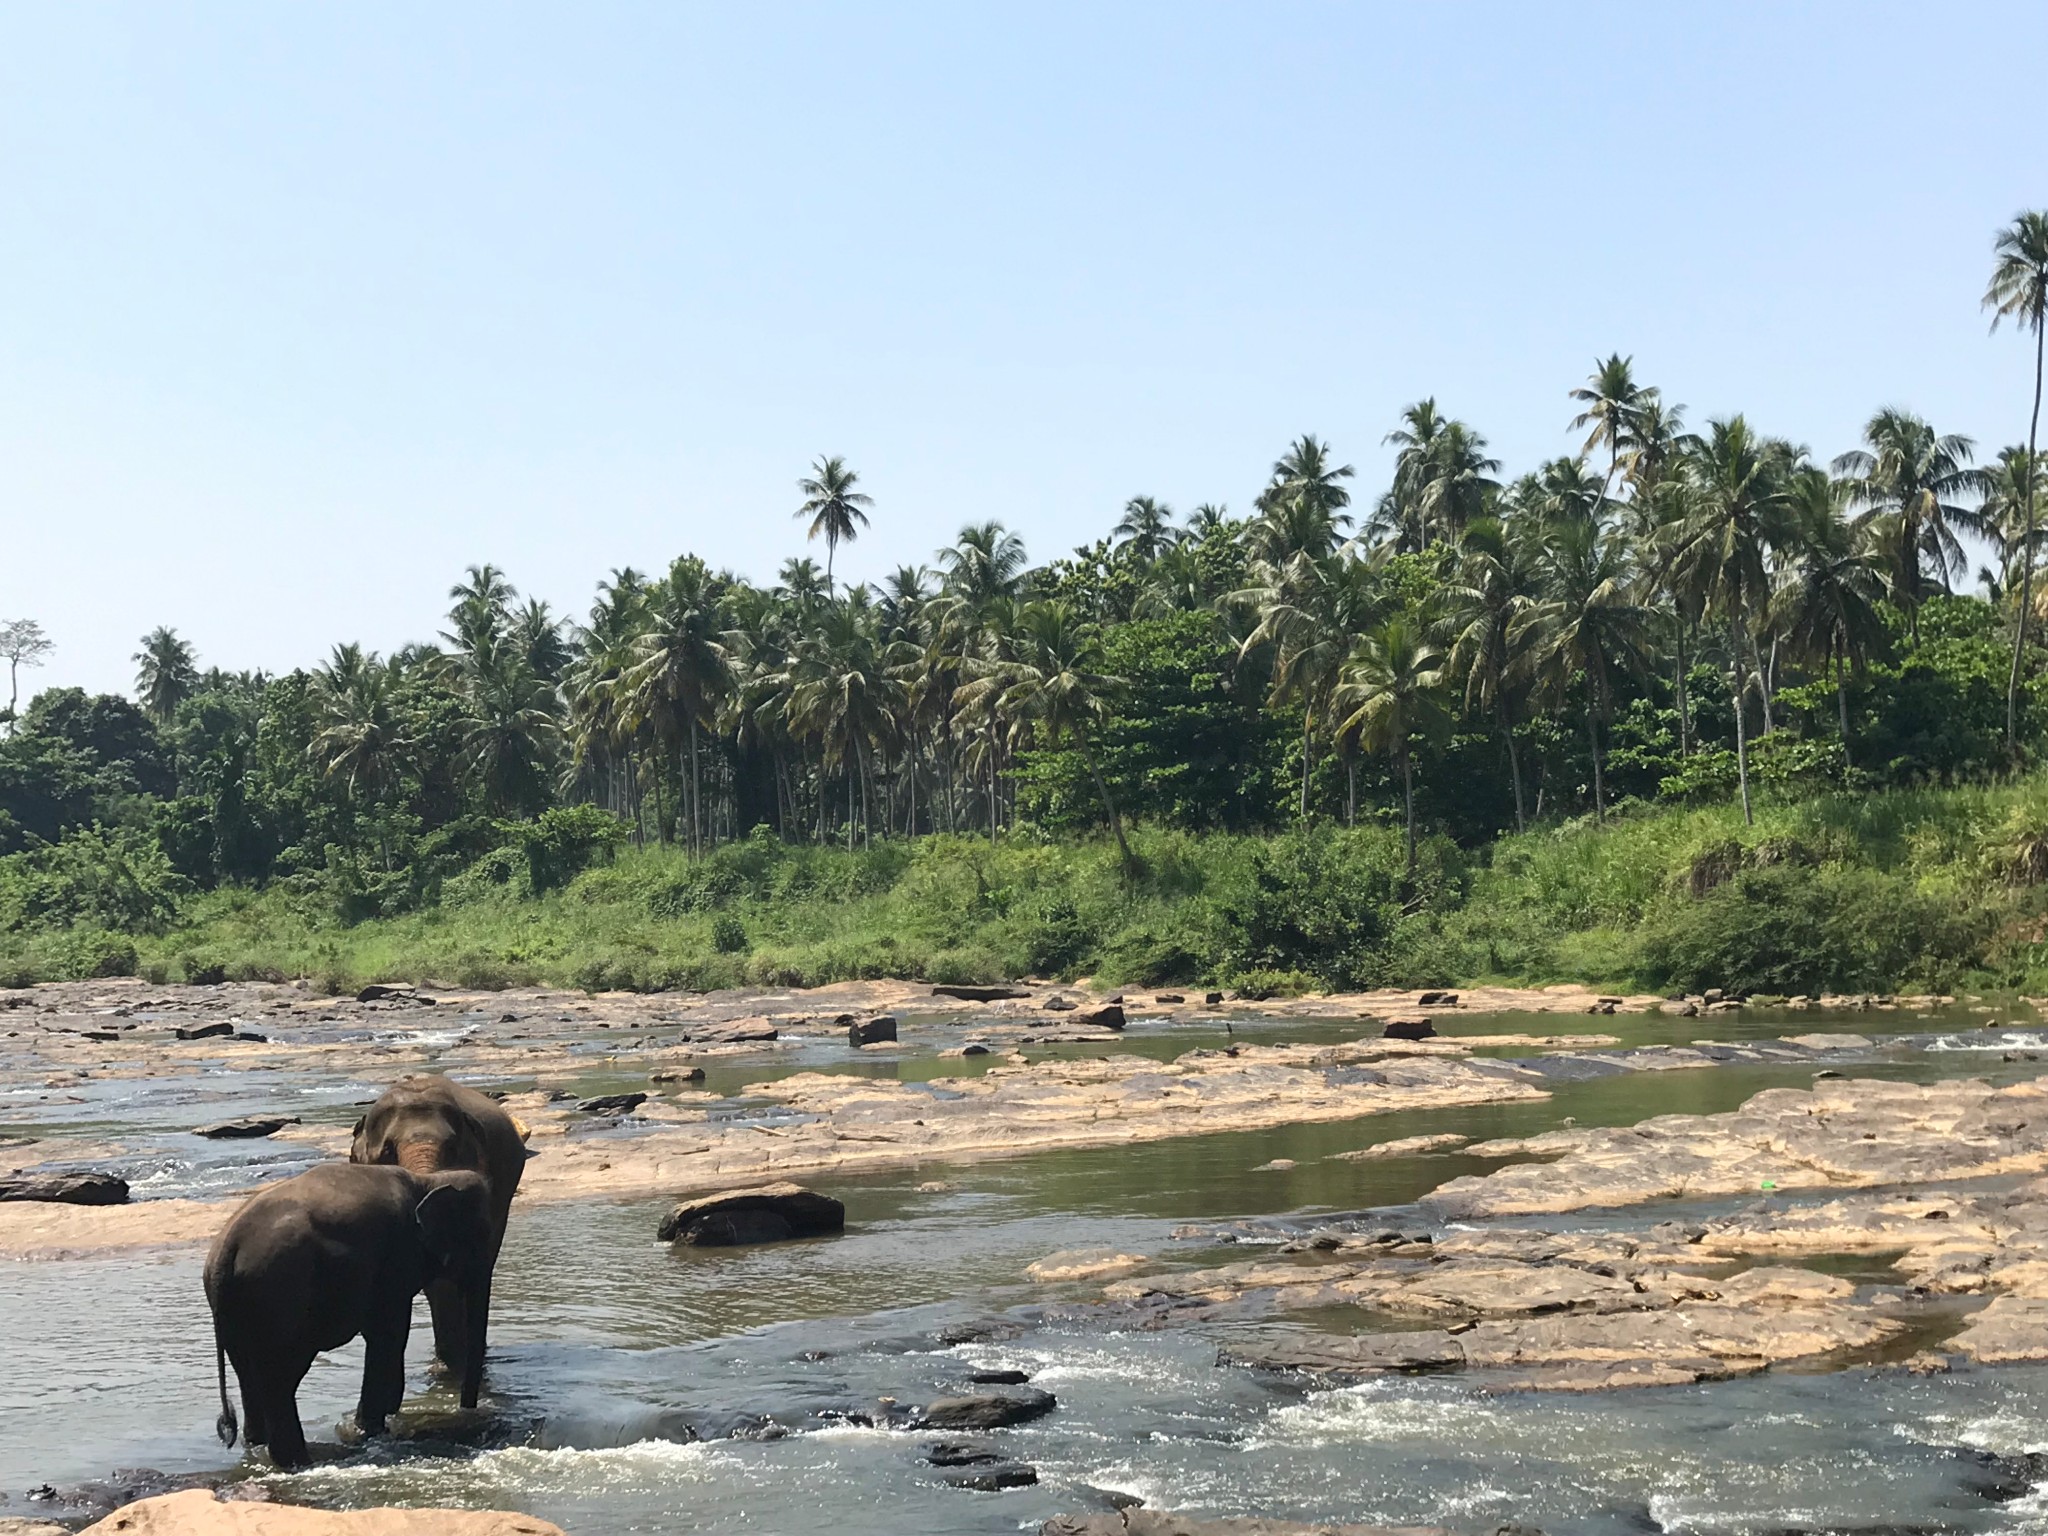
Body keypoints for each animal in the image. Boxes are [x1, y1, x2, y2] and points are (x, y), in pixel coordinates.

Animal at [204, 1163, 495, 1466]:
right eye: (483, 1232)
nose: (467, 1411)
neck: (428, 1181)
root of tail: (226, 1252)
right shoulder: (396, 1256)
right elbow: (390, 1333)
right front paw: (369, 1430)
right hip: (280, 1294)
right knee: (281, 1376)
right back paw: (299, 1460)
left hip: (235, 1308)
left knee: (247, 1372)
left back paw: (258, 1446)